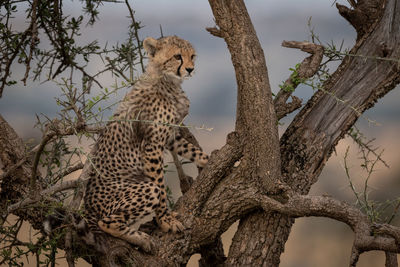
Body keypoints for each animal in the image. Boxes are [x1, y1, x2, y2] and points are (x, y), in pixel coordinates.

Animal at [84, 35, 209, 253]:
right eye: (177, 56)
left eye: (192, 56)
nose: (190, 69)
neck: (167, 80)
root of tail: (86, 207)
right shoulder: (152, 146)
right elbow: (160, 184)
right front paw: (165, 220)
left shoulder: (169, 137)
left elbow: (191, 150)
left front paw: (208, 160)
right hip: (141, 190)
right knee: (106, 222)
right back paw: (140, 238)